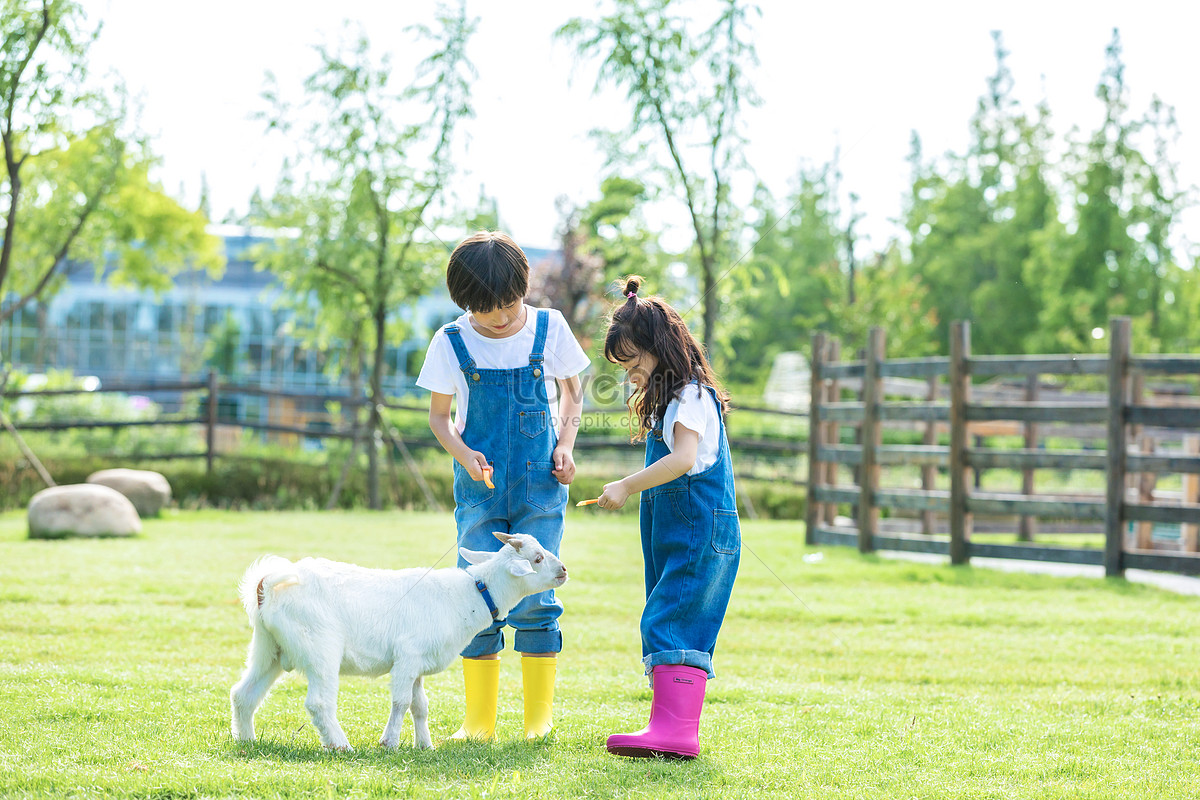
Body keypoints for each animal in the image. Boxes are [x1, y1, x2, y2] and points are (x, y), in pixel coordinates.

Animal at [229, 532, 566, 753]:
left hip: (268, 648)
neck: (468, 595)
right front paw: (389, 742)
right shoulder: (407, 657)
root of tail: (267, 585)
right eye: (537, 558)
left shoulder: (417, 664)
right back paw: (341, 745)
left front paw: (425, 745)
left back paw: (247, 741)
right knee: (318, 703)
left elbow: (420, 706)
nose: (563, 570)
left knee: (243, 693)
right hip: (320, 648)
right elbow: (401, 702)